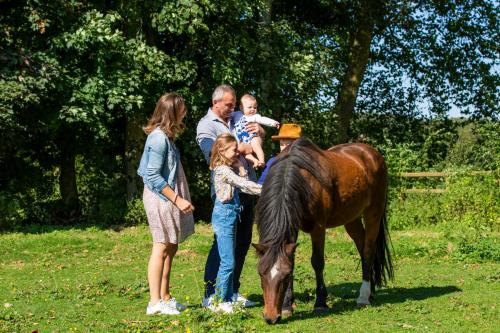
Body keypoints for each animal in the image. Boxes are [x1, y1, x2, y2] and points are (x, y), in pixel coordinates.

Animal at [254, 136, 394, 322]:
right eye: (261, 274)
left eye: (284, 277)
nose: (270, 317)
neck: (301, 178)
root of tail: (372, 153)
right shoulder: (292, 228)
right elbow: (292, 260)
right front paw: (287, 306)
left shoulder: (318, 228)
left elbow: (317, 262)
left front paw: (320, 302)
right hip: (352, 219)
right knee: (362, 247)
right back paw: (370, 292)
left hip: (373, 214)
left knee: (368, 251)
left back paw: (363, 297)